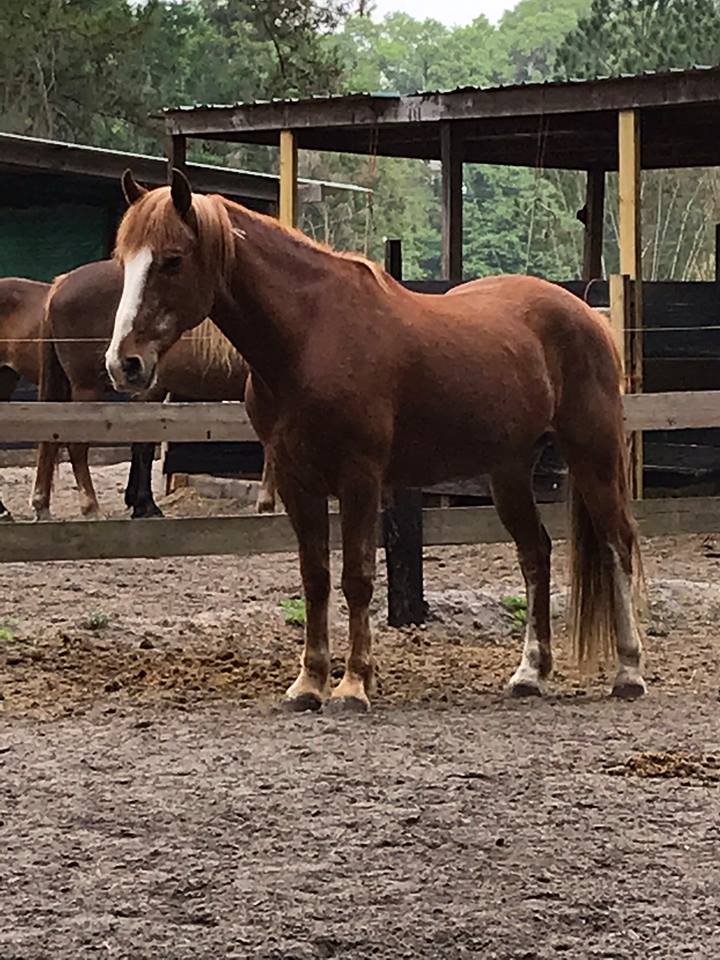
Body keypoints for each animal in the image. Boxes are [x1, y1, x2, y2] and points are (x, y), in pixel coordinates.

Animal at [104, 171, 644, 712]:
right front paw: (309, 683)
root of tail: (589, 314)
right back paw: (530, 674)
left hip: (592, 453)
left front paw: (353, 685)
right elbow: (315, 578)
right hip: (508, 471)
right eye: (125, 261)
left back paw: (629, 671)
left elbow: (357, 578)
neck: (309, 337)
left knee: (617, 543)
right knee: (535, 554)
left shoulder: (359, 476)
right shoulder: (296, 479)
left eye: (173, 259)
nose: (123, 364)